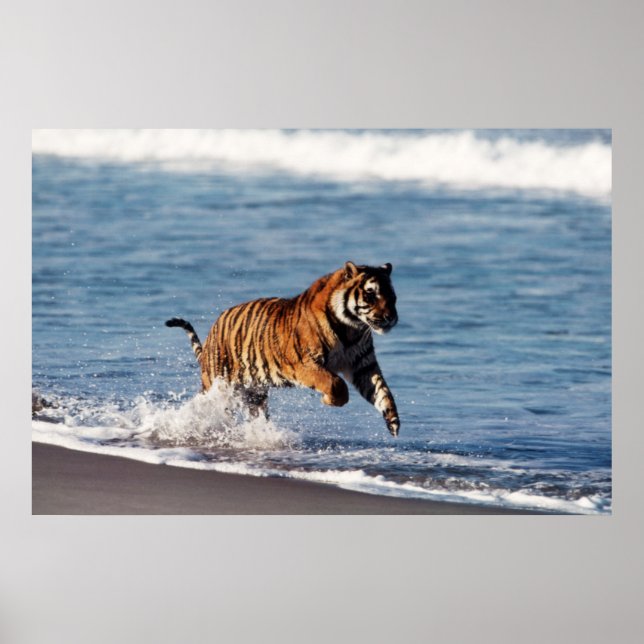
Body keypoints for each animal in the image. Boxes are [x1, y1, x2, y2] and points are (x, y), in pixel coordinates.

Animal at [166, 261, 400, 436]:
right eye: (371, 294)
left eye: (393, 297)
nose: (391, 318)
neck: (351, 328)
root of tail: (213, 331)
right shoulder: (305, 363)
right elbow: (336, 384)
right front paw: (329, 400)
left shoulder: (363, 365)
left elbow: (382, 391)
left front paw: (393, 421)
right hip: (219, 386)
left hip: (254, 394)